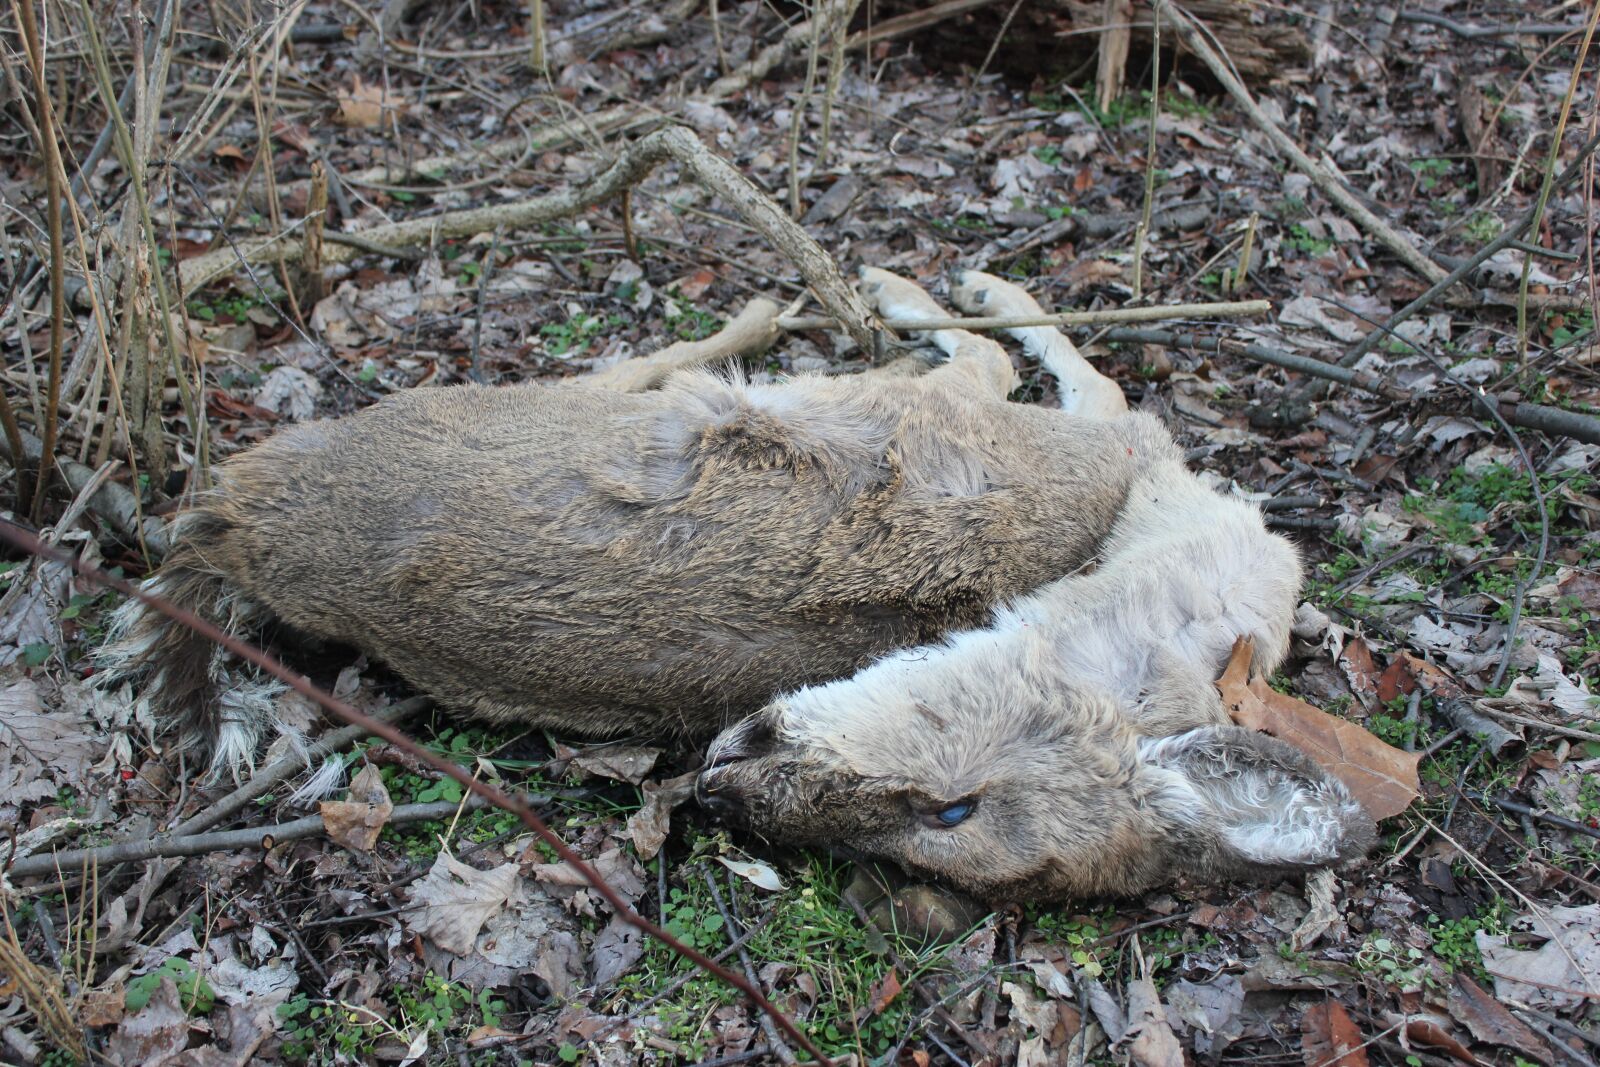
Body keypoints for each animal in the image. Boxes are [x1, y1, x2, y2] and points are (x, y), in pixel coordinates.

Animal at [100, 266, 1373, 902]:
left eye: (946, 816)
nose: (724, 784)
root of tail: (242, 520)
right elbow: (1041, 353)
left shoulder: (980, 412)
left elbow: (1020, 354)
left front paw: (918, 282)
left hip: (507, 402)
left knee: (658, 362)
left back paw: (796, 303)